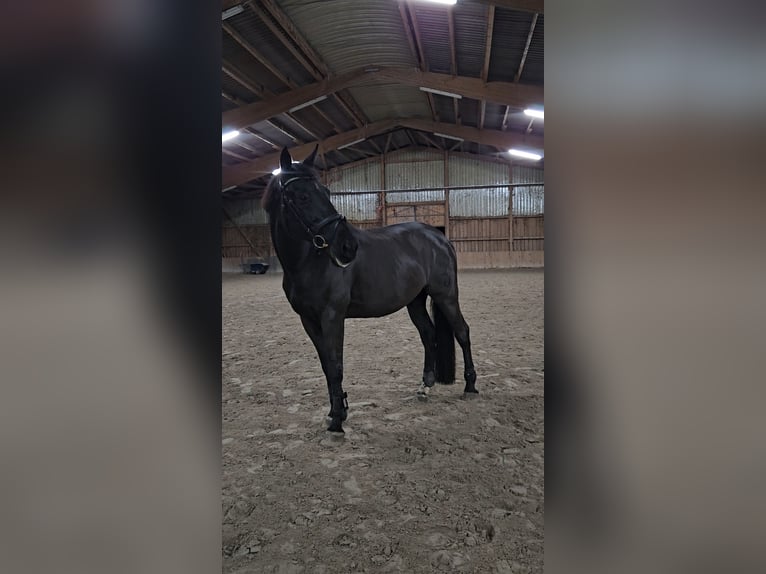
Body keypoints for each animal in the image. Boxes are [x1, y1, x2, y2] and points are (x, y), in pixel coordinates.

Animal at [262, 146, 478, 433]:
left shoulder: (332, 317)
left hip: (446, 296)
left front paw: (338, 421)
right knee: (428, 334)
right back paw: (425, 387)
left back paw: (470, 386)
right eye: (302, 196)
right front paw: (335, 412)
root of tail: (439, 237)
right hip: (415, 301)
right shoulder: (308, 320)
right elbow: (326, 365)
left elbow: (336, 365)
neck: (309, 261)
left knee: (462, 332)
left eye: (326, 192)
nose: (347, 247)